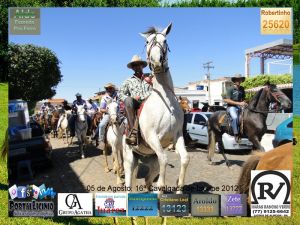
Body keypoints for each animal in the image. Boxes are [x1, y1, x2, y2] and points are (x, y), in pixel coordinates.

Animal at [122, 23, 189, 199]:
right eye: (147, 42)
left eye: (164, 40)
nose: (156, 61)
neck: (165, 103)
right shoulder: (153, 138)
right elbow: (165, 159)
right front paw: (161, 190)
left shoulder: (177, 136)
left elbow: (185, 158)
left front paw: (179, 188)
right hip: (129, 159)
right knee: (129, 184)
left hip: (151, 161)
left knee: (147, 179)